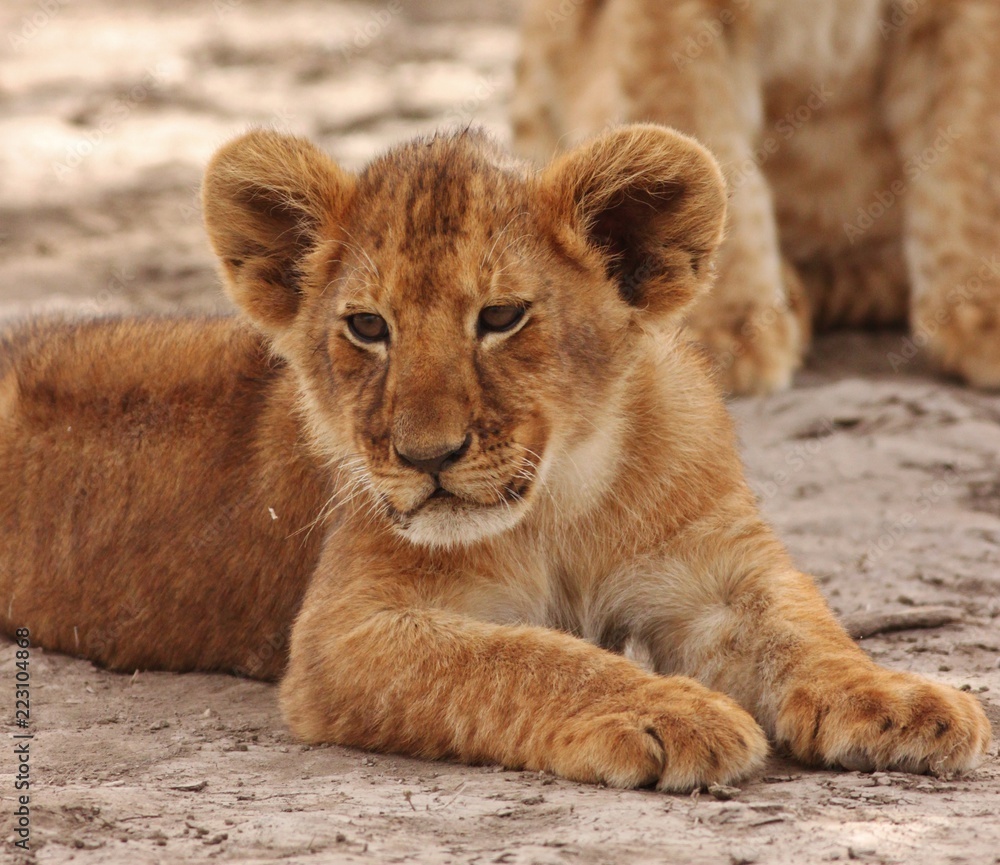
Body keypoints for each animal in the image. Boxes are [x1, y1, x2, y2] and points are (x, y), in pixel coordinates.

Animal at [0, 127, 990, 790]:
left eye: (502, 316)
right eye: (368, 326)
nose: (426, 454)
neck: (561, 500)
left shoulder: (717, 570)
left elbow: (806, 627)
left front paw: (902, 700)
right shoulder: (342, 631)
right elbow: (523, 657)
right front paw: (666, 710)